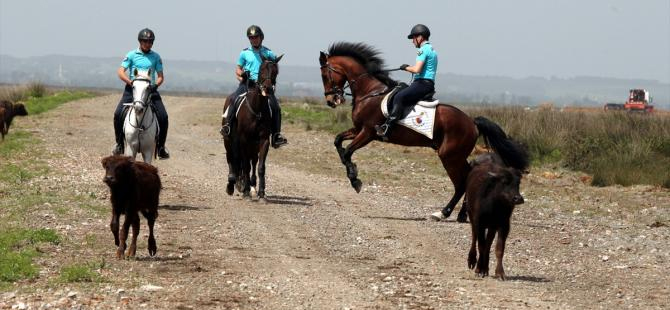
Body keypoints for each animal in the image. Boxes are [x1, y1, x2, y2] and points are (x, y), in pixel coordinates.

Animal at [222, 55, 282, 201]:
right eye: (262, 69)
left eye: (276, 71)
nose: (268, 88)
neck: (257, 109)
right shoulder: (243, 140)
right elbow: (245, 166)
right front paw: (246, 192)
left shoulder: (263, 140)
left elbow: (260, 166)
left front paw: (261, 193)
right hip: (228, 140)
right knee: (231, 158)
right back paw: (232, 185)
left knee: (249, 161)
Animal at [320, 42, 532, 222]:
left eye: (324, 75)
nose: (331, 101)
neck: (370, 92)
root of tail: (472, 122)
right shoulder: (357, 129)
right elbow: (338, 142)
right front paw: (351, 171)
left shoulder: (368, 132)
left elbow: (348, 151)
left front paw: (355, 179)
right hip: (454, 155)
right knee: (467, 176)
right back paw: (461, 214)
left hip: (449, 155)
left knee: (461, 181)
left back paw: (443, 212)